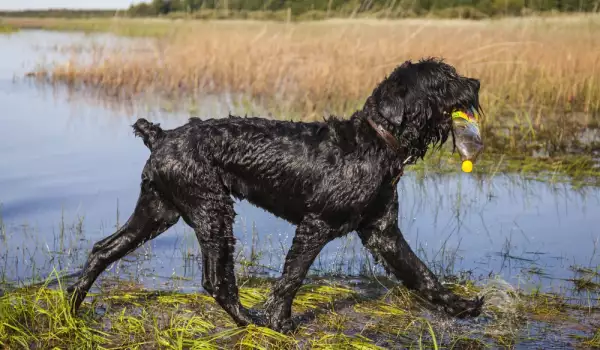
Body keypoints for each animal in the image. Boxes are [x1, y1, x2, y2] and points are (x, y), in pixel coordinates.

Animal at [67, 56, 482, 330]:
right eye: (444, 79)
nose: (476, 83)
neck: (375, 143)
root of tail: (162, 136)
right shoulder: (316, 224)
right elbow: (293, 276)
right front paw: (279, 322)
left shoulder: (383, 233)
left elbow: (423, 274)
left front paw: (461, 306)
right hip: (212, 211)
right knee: (215, 281)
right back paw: (249, 320)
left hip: (158, 210)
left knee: (102, 249)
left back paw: (71, 307)